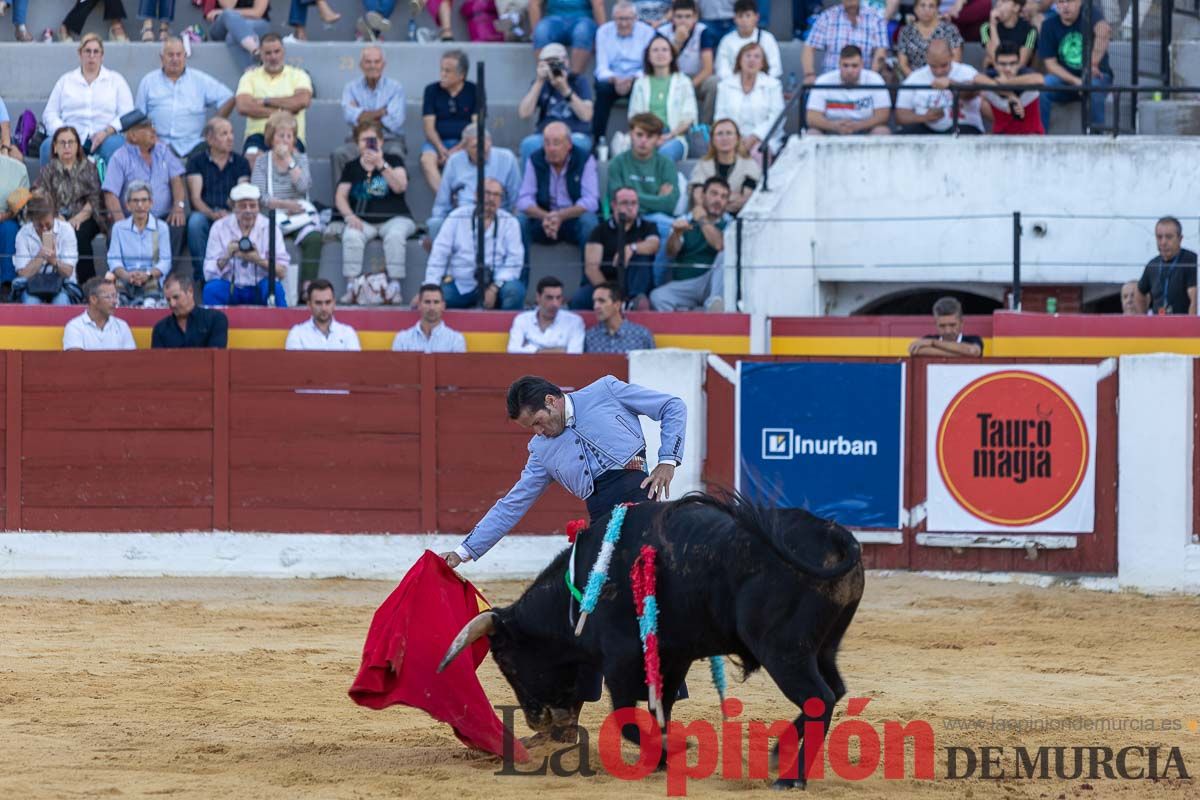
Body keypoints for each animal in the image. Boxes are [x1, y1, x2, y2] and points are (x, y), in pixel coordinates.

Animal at [439, 494, 864, 786]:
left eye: (507, 663)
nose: (537, 721)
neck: (583, 584)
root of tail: (834, 535)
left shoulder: (619, 660)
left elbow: (626, 718)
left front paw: (670, 750)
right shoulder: (672, 657)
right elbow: (662, 711)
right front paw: (662, 757)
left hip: (782, 650)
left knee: (819, 698)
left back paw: (790, 776)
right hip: (822, 648)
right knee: (835, 690)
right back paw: (780, 753)